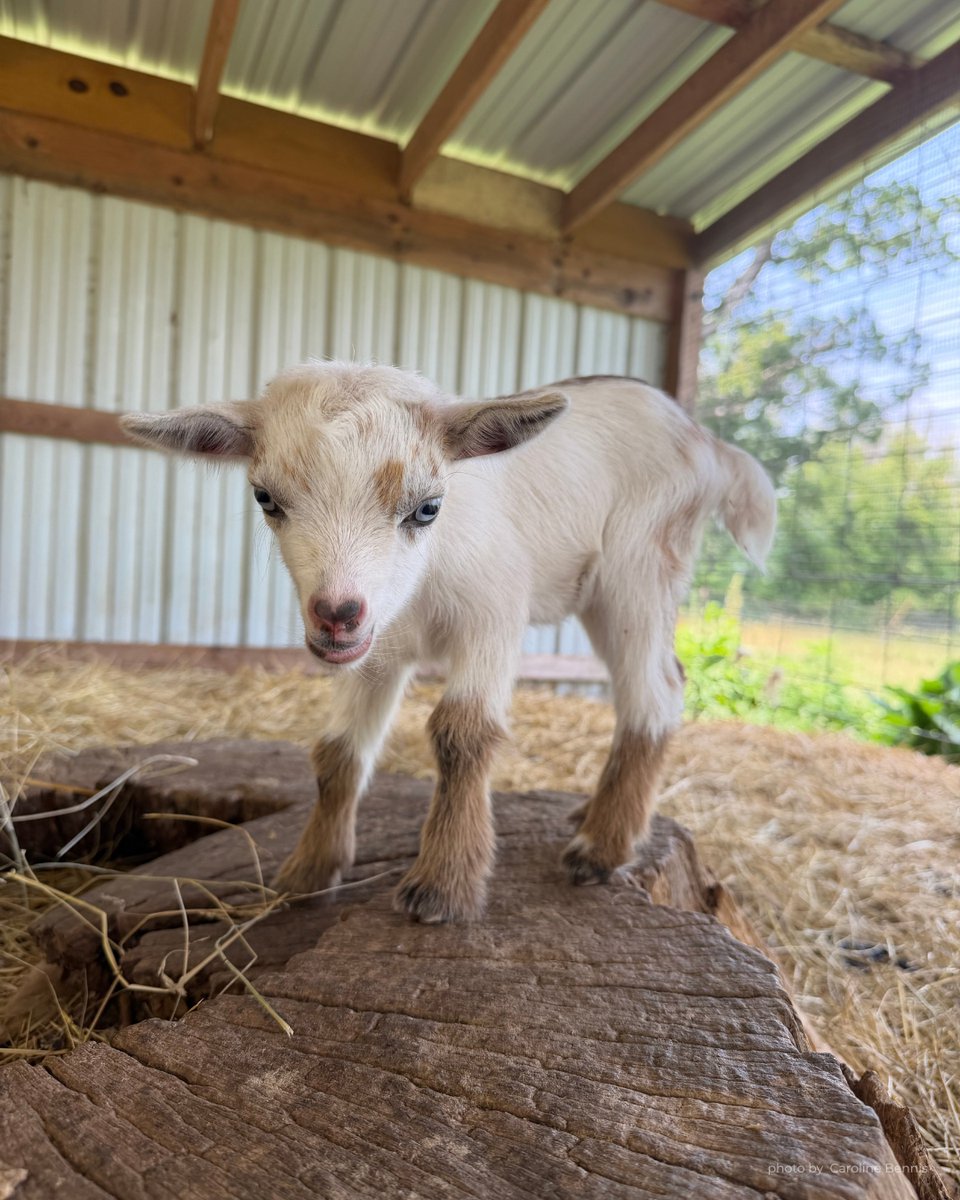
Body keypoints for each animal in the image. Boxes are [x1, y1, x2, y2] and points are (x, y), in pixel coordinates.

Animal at [123, 362, 775, 923]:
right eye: (266, 498)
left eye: (427, 508)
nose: (336, 617)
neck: (422, 589)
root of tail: (708, 442)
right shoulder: (377, 648)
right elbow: (338, 752)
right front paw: (307, 872)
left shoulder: (494, 615)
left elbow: (462, 732)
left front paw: (443, 887)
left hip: (637, 567)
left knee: (656, 690)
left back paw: (601, 849)